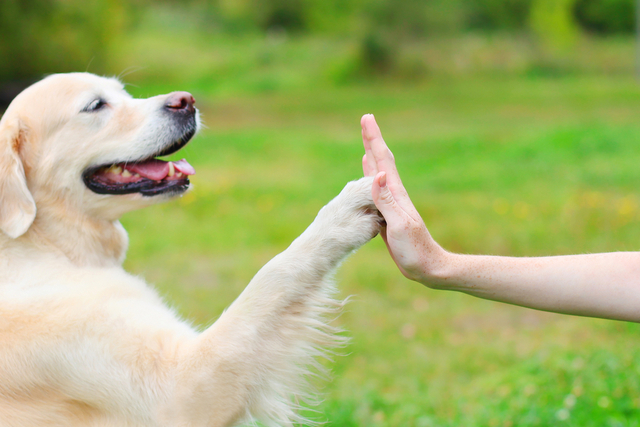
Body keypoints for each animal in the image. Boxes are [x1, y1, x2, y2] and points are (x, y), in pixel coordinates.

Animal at [0, 73, 380, 427]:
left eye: (124, 92)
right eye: (95, 105)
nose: (186, 101)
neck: (47, 245)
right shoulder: (179, 389)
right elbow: (274, 273)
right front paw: (345, 212)